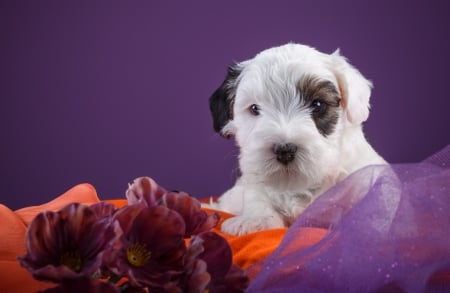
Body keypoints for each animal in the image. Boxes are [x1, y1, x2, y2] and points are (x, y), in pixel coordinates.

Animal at [209, 42, 384, 235]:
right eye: (254, 108)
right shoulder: (254, 185)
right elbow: (258, 200)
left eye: (318, 105)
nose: (284, 151)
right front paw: (255, 220)